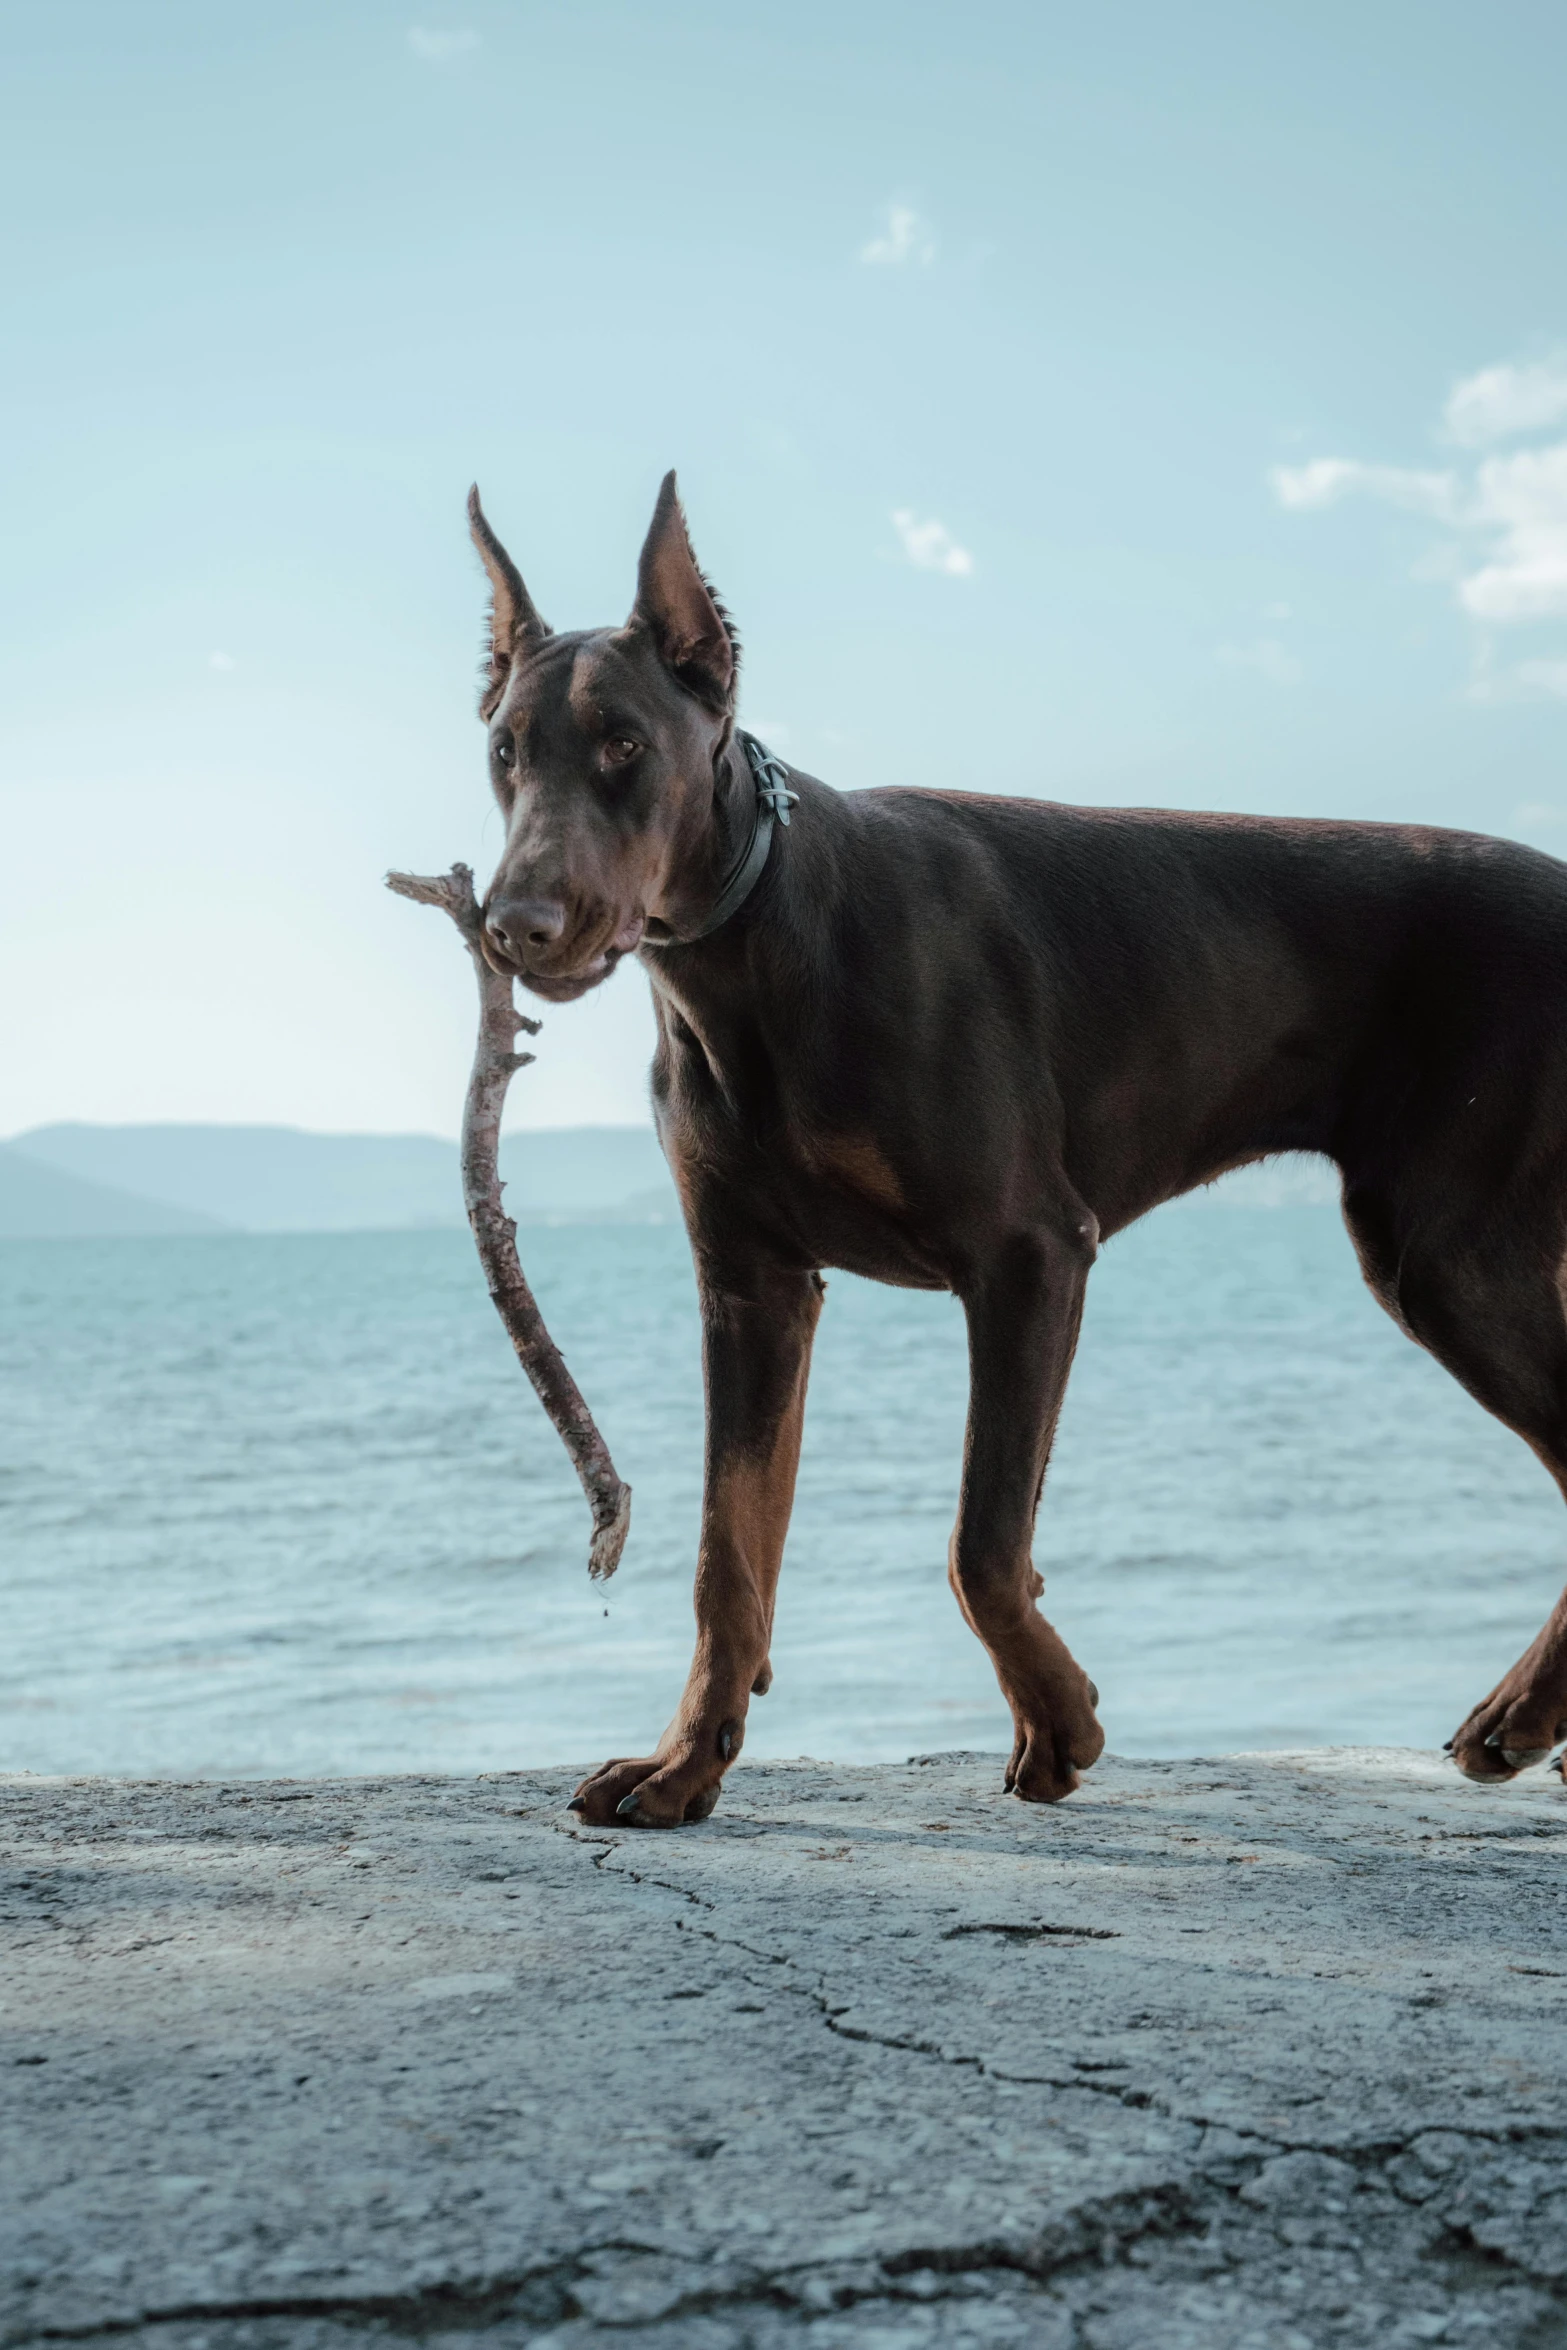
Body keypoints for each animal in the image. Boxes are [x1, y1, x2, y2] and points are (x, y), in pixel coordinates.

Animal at [472, 472, 1567, 1814]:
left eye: (624, 744)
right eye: (504, 753)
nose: (514, 925)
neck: (762, 940)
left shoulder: (1030, 1252)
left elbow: (982, 1542)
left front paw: (1059, 1718)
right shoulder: (751, 1284)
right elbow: (728, 1549)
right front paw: (687, 1759)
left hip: (1449, 1256)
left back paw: (1519, 1713)